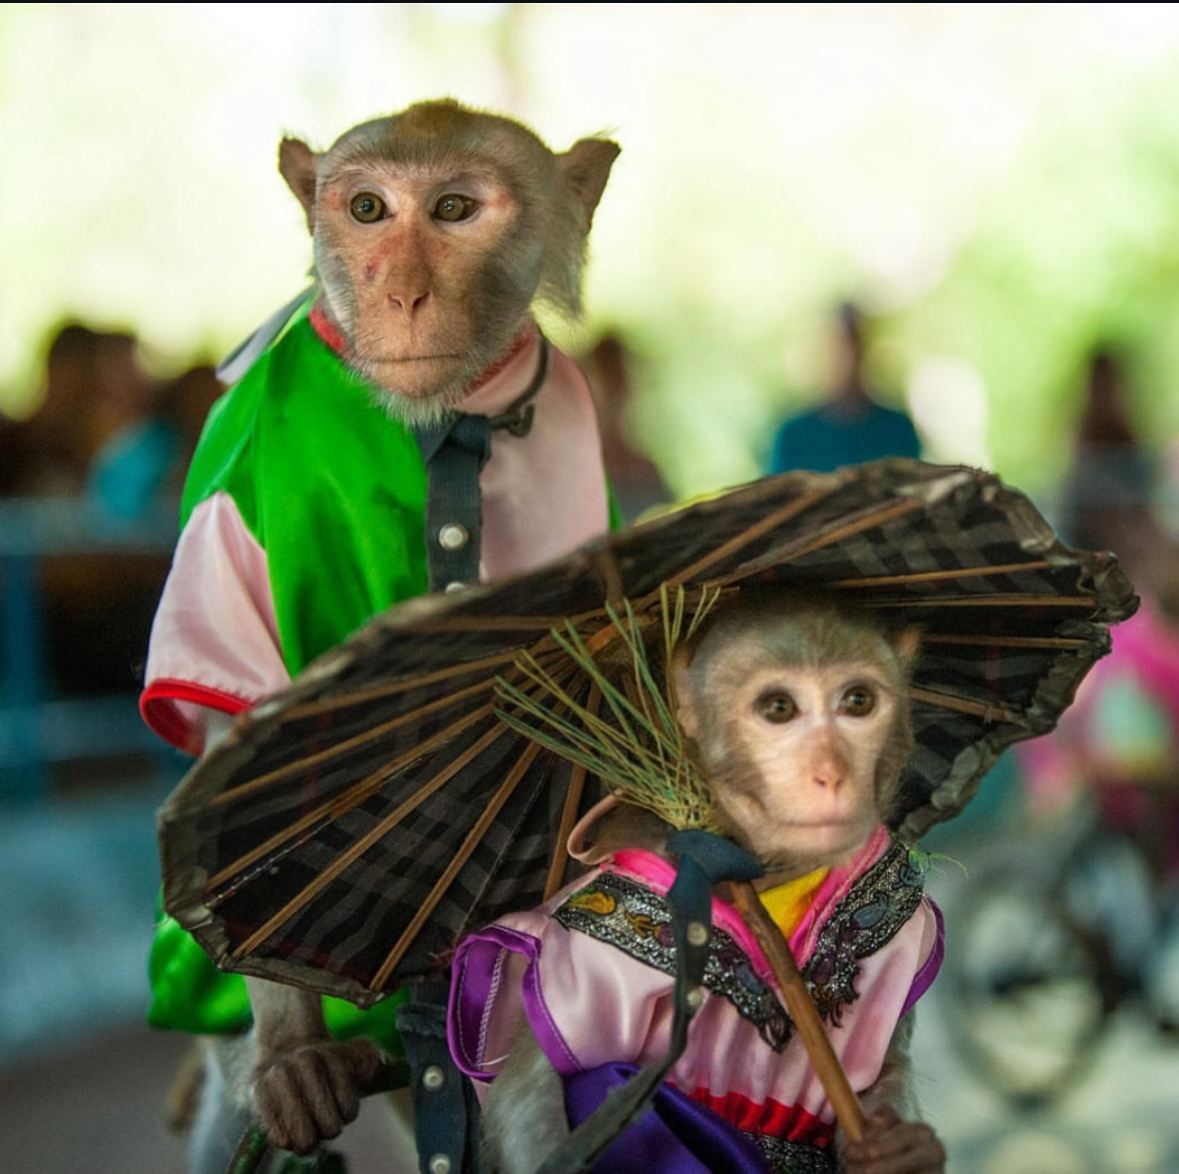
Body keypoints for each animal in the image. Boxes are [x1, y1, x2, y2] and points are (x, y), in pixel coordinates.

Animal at [141, 98, 620, 1171]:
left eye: (452, 210)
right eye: (366, 209)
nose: (401, 293)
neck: (446, 423)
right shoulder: (238, 500)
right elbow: (240, 743)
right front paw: (290, 1054)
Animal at [448, 593, 947, 1173]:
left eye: (858, 700)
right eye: (779, 708)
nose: (832, 774)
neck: (750, 869)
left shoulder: (910, 926)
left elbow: (885, 1073)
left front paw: (899, 1151)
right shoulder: (576, 959)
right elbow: (528, 1090)